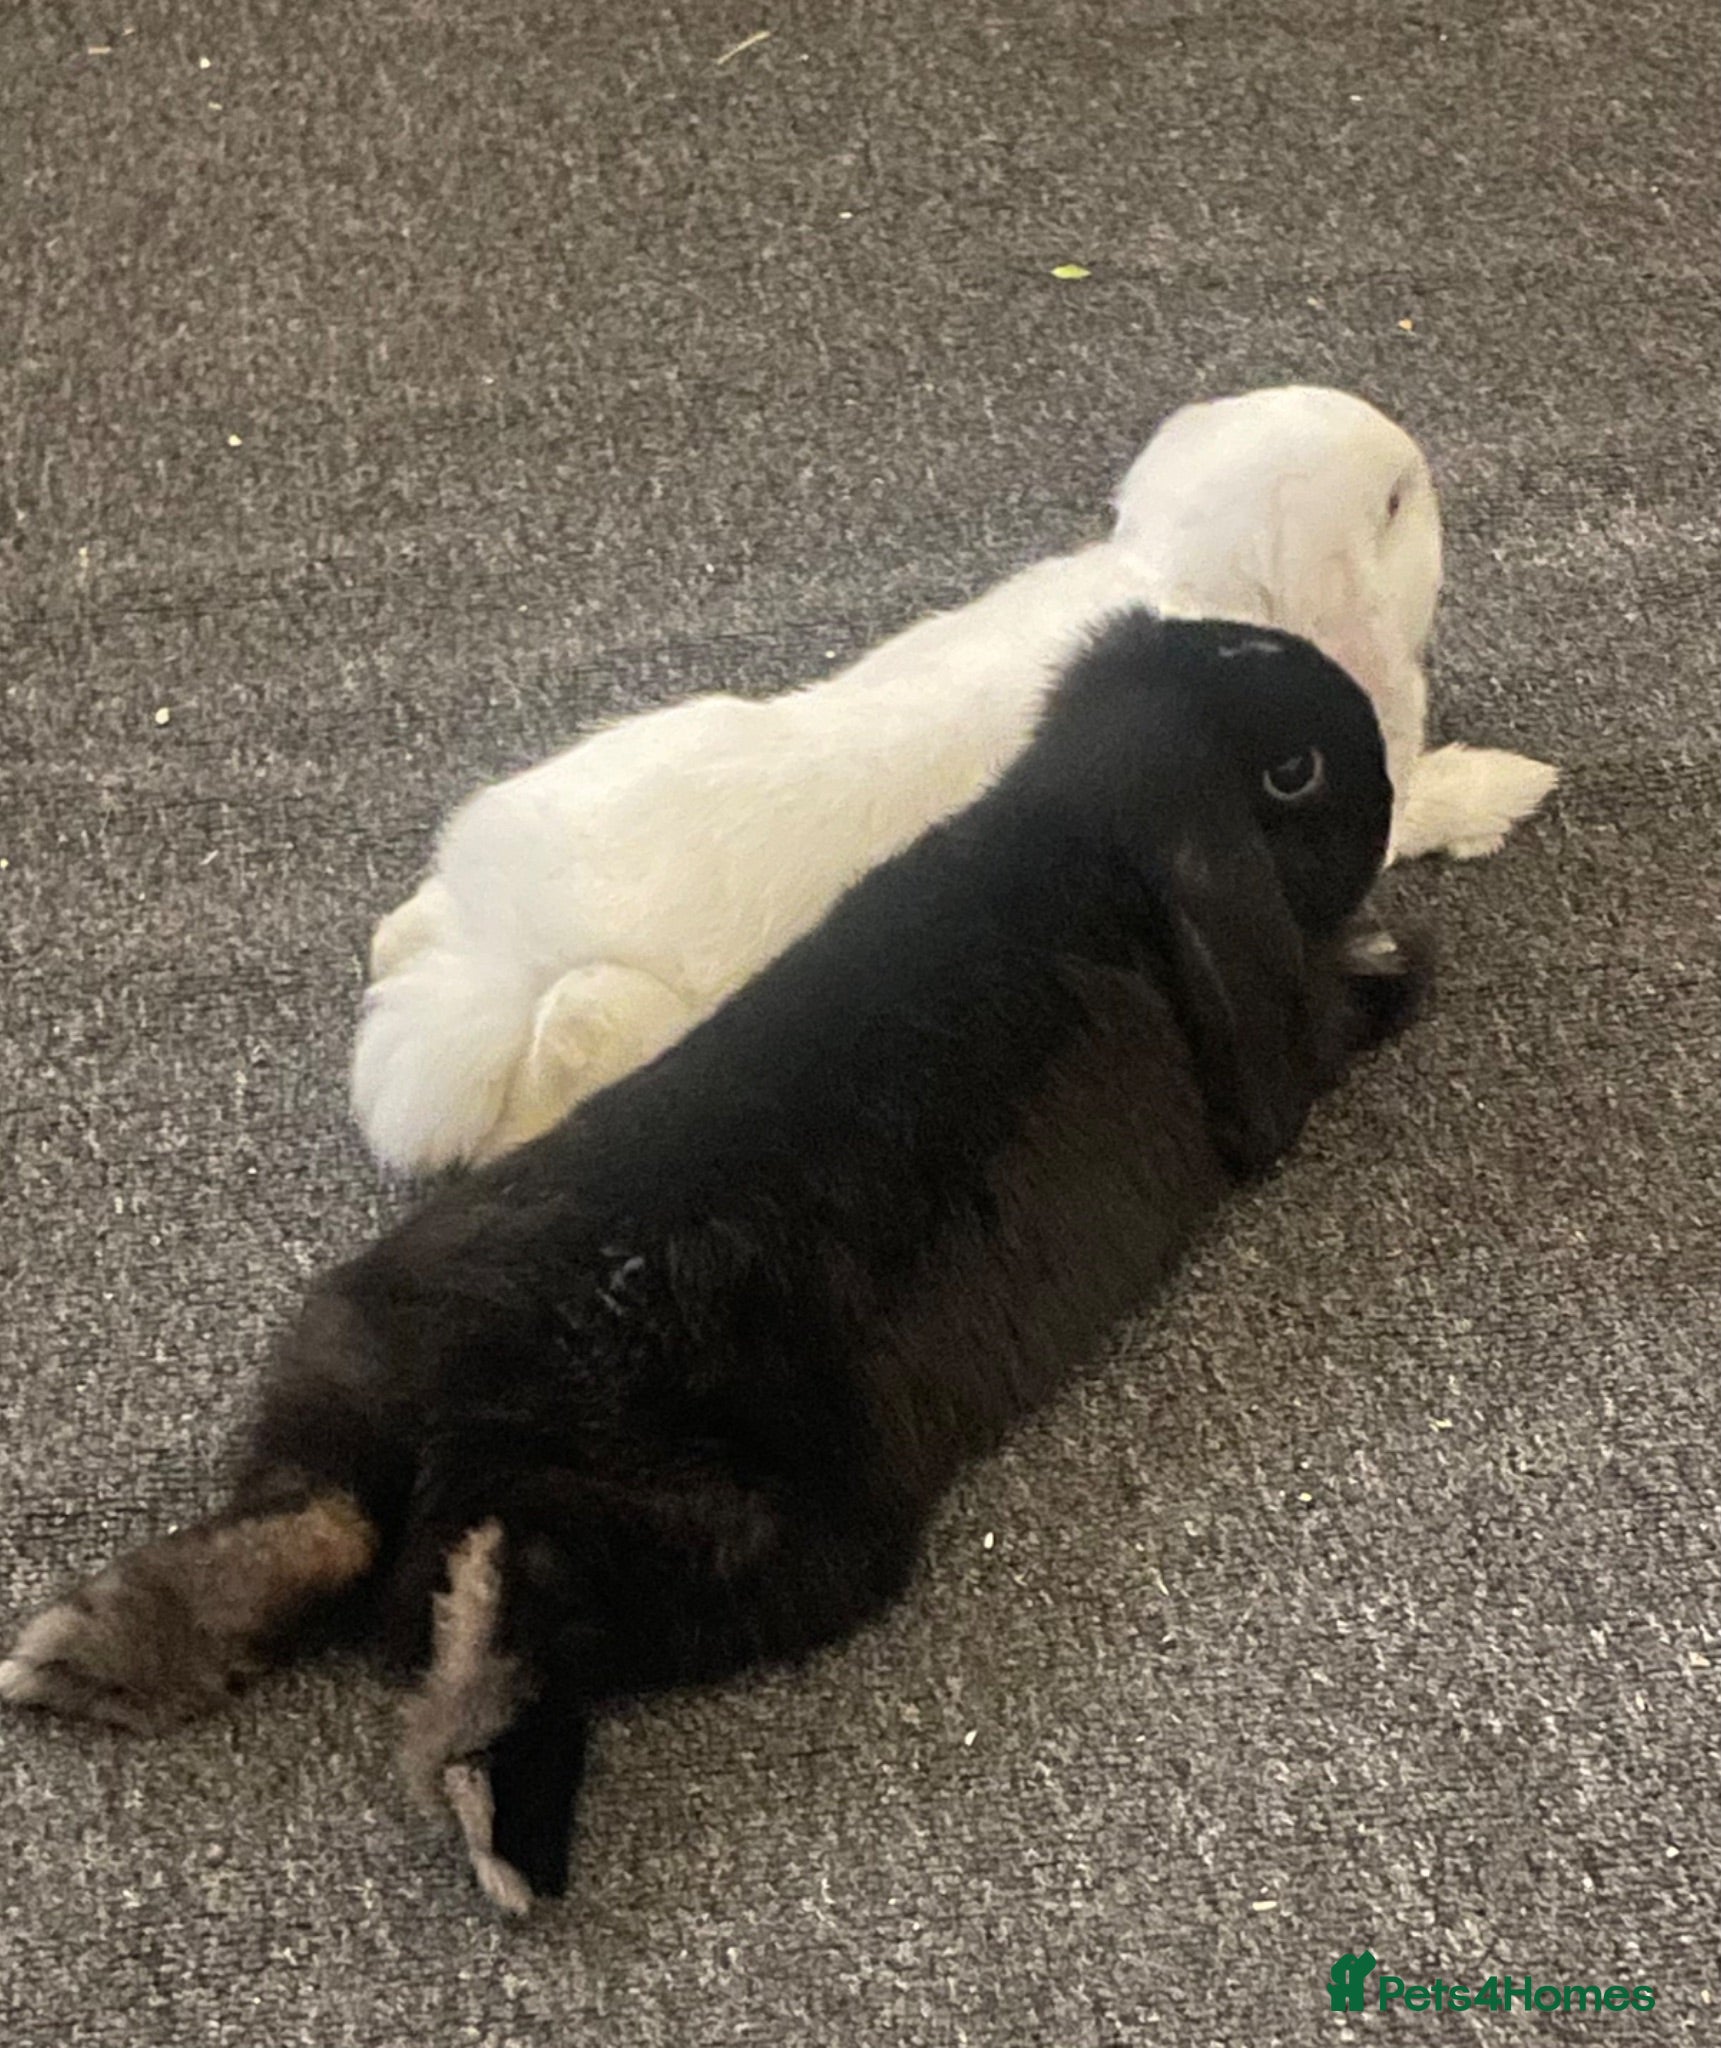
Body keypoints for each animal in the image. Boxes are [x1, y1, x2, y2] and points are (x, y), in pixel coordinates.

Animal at [3, 614, 1430, 1916]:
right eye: (1297, 769)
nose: (1380, 760)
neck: (1075, 821)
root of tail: (475, 1402)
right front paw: (1399, 963)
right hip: (773, 1540)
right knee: (519, 1576)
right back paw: (502, 1821)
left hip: (354, 1352)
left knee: (316, 1518)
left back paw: (76, 1657)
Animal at [350, 386, 1546, 1178]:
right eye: (1393, 505)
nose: (1422, 459)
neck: (1193, 586)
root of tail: (501, 957)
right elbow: (1414, 805)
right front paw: (1513, 787)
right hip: (632, 1024)